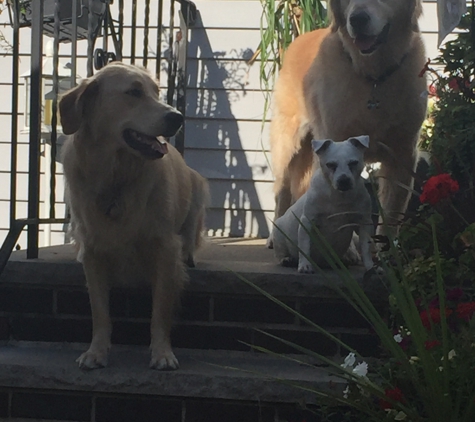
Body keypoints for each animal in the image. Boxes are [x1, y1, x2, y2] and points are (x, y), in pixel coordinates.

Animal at [272, 135, 376, 274]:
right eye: (330, 165)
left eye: (353, 163)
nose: (344, 180)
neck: (339, 196)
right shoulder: (307, 222)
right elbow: (305, 246)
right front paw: (305, 265)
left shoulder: (364, 223)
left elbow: (366, 249)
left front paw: (371, 267)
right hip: (278, 233)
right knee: (281, 252)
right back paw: (288, 259)